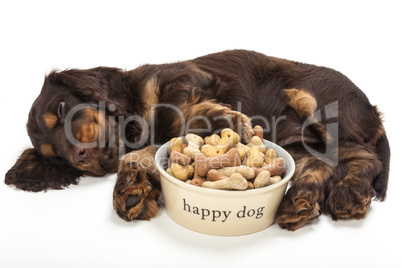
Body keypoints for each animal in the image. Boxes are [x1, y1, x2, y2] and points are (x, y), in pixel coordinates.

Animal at [3, 49, 390, 230]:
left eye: (62, 108)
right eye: (54, 156)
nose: (79, 156)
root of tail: (372, 110)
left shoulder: (187, 80)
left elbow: (178, 112)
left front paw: (225, 119)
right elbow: (136, 155)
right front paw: (131, 188)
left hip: (315, 102)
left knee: (363, 156)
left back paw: (349, 193)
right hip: (295, 142)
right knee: (325, 162)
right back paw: (301, 200)